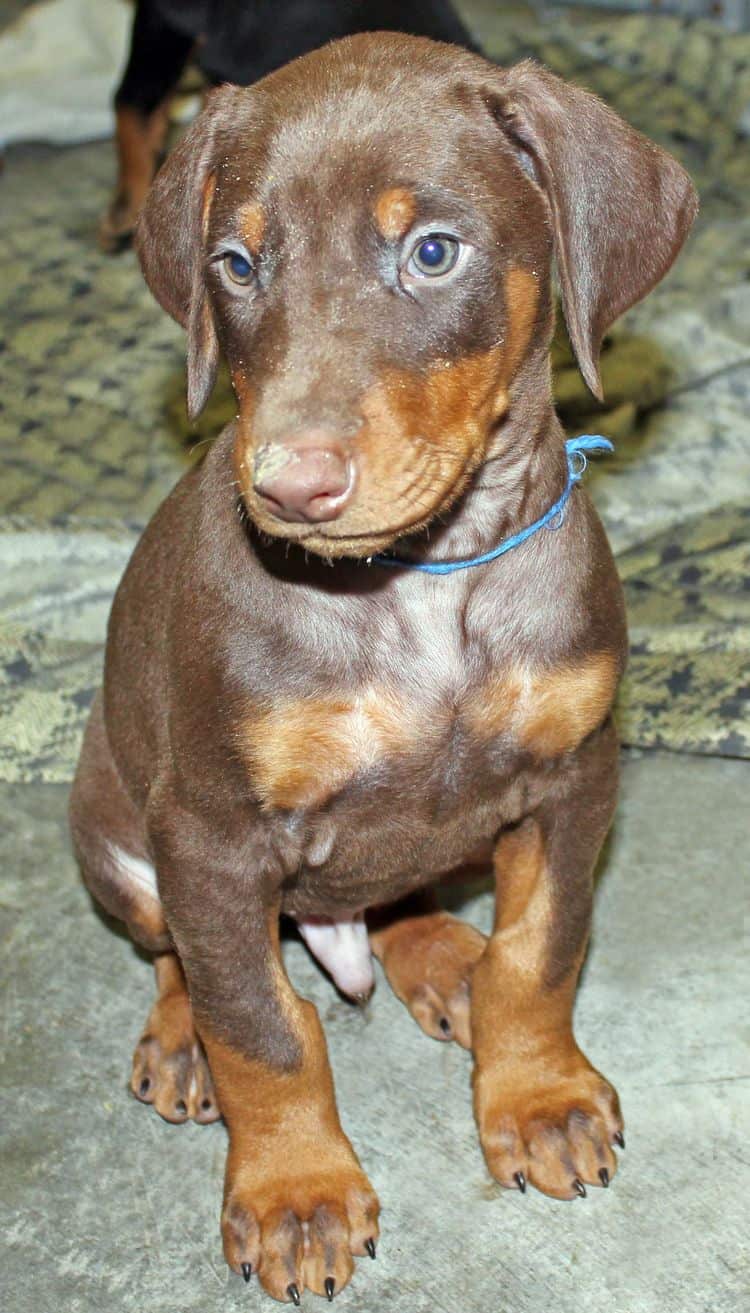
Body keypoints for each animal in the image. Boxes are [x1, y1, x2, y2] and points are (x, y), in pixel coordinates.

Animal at [70, 30, 698, 1302]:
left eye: (433, 250)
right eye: (235, 262)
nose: (288, 486)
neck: (424, 587)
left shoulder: (576, 775)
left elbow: (542, 949)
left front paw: (538, 1093)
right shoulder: (211, 832)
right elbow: (259, 1022)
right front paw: (295, 1189)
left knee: (406, 892)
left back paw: (445, 956)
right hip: (112, 818)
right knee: (178, 954)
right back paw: (180, 1038)